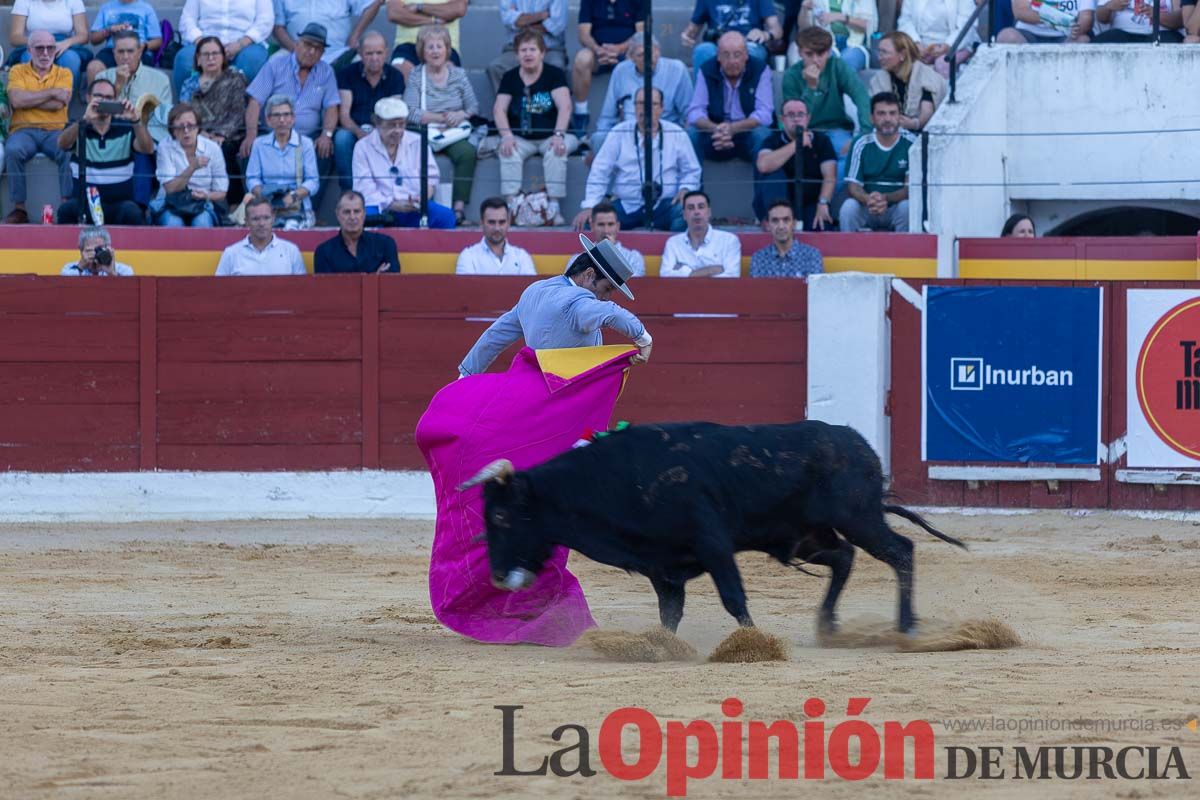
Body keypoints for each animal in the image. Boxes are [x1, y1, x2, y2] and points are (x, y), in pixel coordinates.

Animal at [458, 422, 964, 633]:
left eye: (501, 516)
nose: (498, 576)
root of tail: (861, 445)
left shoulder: (713, 544)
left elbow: (733, 598)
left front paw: (755, 643)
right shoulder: (663, 569)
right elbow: (669, 615)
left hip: (858, 518)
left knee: (900, 551)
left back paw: (905, 625)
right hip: (806, 536)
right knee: (844, 558)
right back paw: (827, 623)